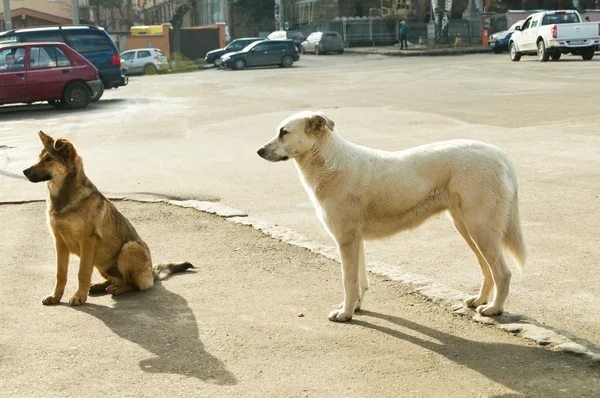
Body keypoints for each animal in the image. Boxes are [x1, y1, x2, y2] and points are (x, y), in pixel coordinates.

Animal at [22, 132, 192, 306]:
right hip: (101, 262)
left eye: (49, 159)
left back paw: (117, 289)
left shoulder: (87, 241)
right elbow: (60, 273)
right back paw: (99, 285)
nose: (24, 171)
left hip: (129, 248)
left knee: (133, 284)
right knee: (114, 279)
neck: (65, 195)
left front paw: (79, 296)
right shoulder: (59, 242)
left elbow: (82, 272)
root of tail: (151, 273)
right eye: (40, 158)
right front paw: (55, 296)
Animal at [258, 112, 524, 324]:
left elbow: (348, 281)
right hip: (467, 228)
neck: (328, 162)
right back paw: (479, 300)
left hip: (480, 228)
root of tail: (498, 154)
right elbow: (360, 280)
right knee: (487, 269)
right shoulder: (355, 241)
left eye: (284, 132)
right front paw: (355, 307)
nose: (259, 151)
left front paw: (345, 314)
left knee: (502, 272)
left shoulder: (346, 240)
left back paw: (494, 309)